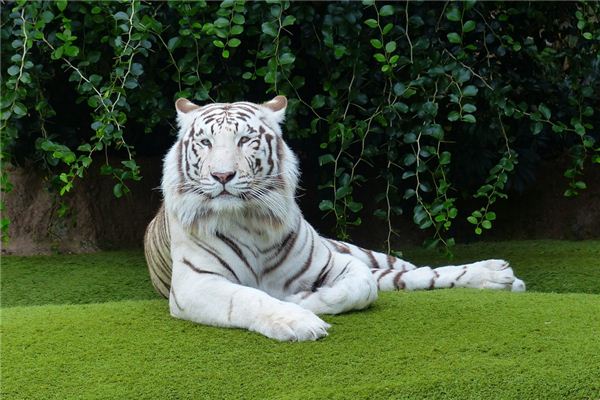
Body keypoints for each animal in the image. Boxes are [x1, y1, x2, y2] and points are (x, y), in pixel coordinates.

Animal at [144, 95, 524, 342]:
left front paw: (301, 300)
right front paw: (296, 320)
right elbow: (249, 297)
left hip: (364, 253)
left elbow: (361, 288)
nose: (222, 176)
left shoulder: (337, 263)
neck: (251, 219)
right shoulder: (195, 283)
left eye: (246, 140)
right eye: (206, 143)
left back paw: (499, 275)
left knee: (416, 273)